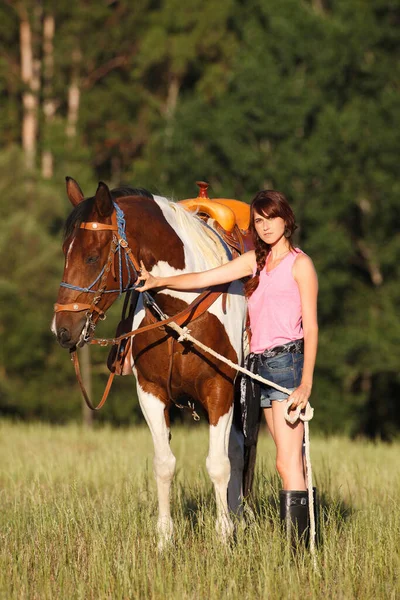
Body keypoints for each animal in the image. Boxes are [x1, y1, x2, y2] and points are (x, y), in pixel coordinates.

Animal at [52, 178, 248, 548]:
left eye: (91, 256)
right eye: (64, 254)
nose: (62, 330)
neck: (181, 309)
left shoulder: (220, 390)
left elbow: (219, 464)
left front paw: (223, 538)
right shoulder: (151, 392)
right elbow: (164, 464)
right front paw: (165, 540)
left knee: (238, 452)